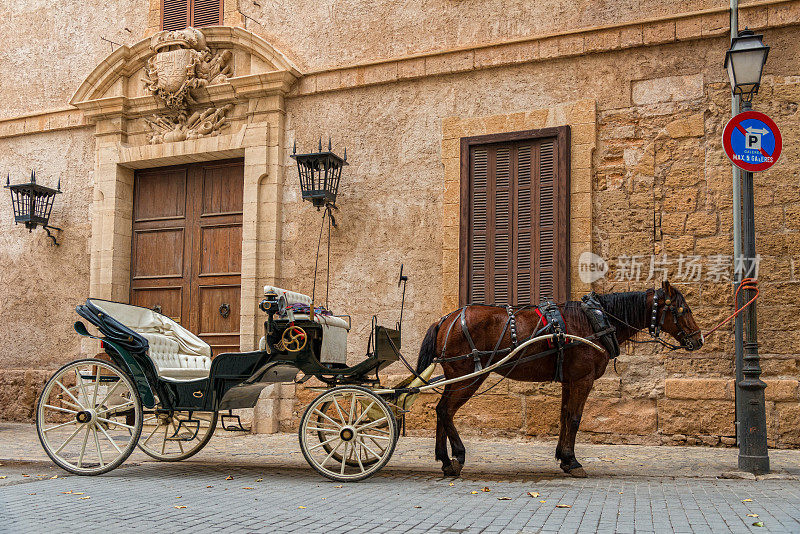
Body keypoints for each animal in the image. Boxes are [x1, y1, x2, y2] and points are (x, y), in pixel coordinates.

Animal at [416, 282, 704, 480]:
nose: (699, 339)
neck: (595, 321)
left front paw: (564, 459)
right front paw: (573, 462)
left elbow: (565, 416)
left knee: (441, 410)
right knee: (446, 410)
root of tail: (446, 319)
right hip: (468, 376)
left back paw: (445, 460)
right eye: (683, 309)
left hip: (458, 376)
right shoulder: (582, 380)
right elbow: (575, 419)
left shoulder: (570, 380)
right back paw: (456, 456)